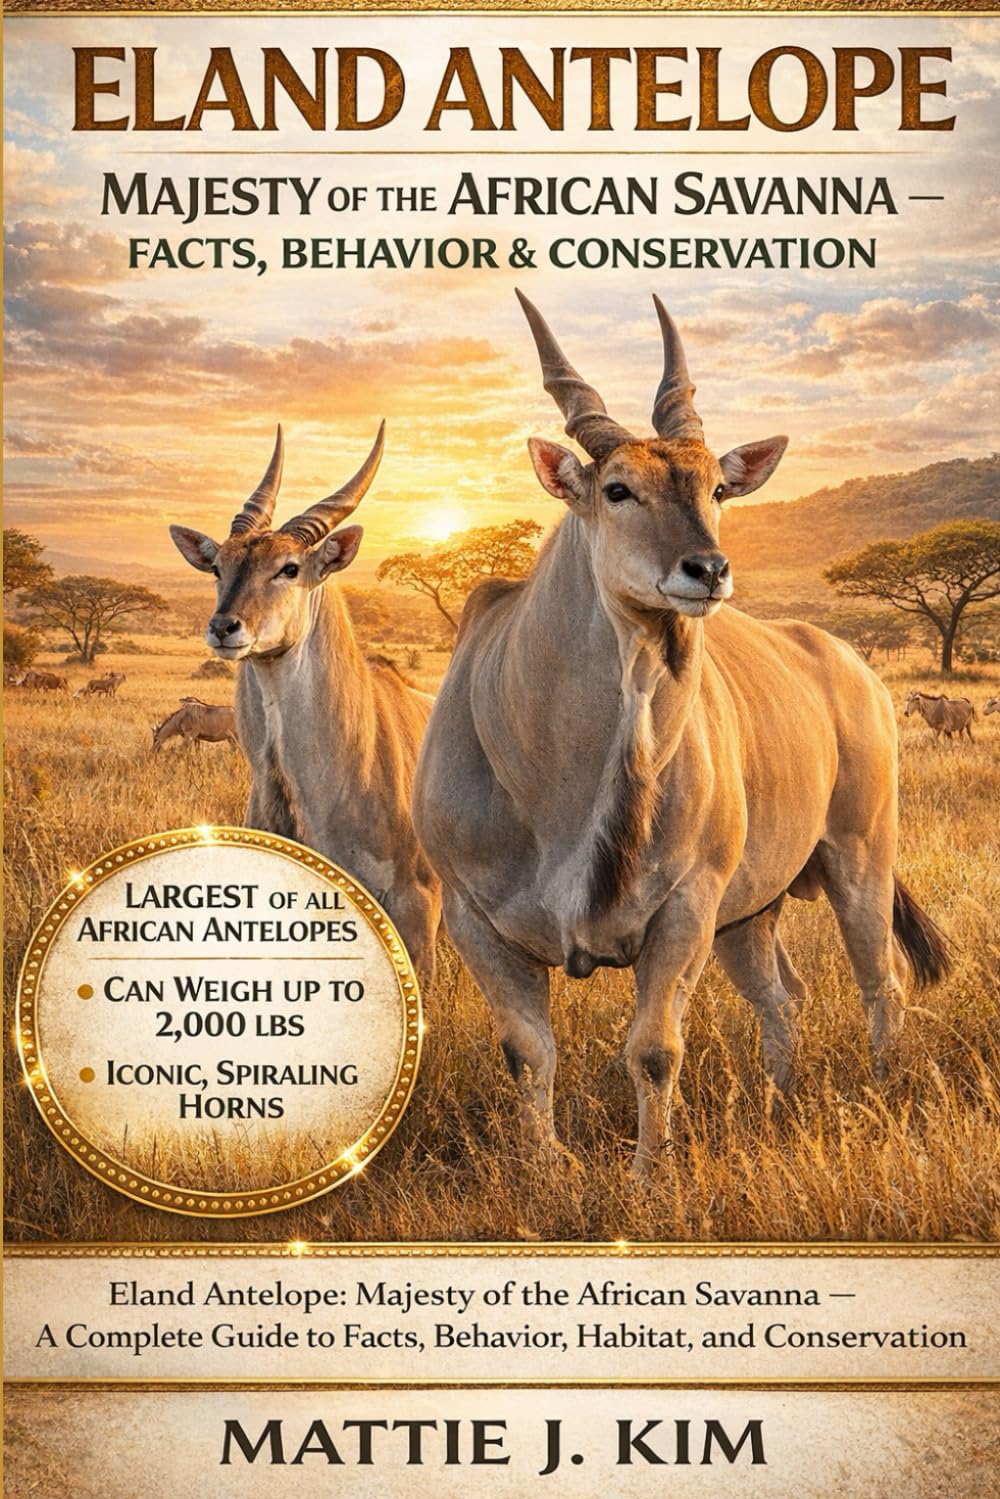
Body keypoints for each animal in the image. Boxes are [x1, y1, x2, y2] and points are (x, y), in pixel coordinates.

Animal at [413, 291, 951, 1177]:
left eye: (716, 487)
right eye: (618, 488)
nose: (708, 570)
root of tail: (852, 667)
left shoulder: (685, 909)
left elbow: (655, 1048)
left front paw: (649, 1173)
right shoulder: (474, 920)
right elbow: (528, 1050)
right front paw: (547, 1167)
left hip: (859, 860)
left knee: (882, 983)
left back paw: (885, 1091)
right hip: (751, 914)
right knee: (785, 995)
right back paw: (777, 1101)